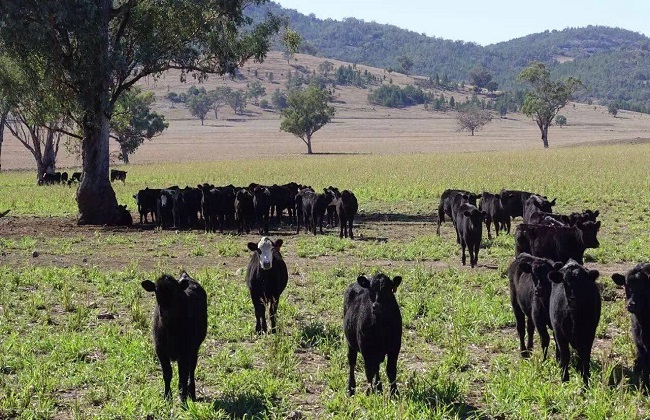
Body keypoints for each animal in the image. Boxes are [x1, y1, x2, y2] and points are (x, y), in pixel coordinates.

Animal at [142, 270, 208, 402]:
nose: (166, 313)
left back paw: (191, 392)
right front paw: (167, 397)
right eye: (156, 291)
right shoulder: (160, 351)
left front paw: (183, 399)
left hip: (194, 349)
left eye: (175, 292)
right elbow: (167, 374)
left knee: (191, 369)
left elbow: (183, 375)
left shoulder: (185, 352)